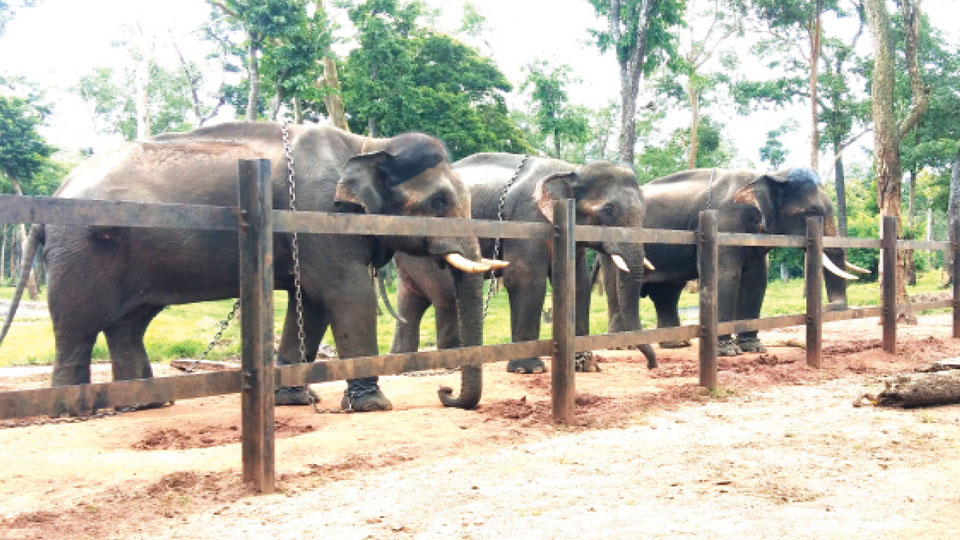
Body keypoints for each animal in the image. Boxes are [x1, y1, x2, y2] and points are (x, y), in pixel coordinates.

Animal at [0, 121, 496, 410]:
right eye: (438, 202)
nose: (444, 392)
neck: (368, 145)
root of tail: (58, 192)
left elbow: (311, 301)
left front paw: (294, 398)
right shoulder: (319, 212)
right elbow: (344, 293)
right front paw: (373, 404)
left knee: (129, 322)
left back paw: (144, 403)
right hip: (82, 249)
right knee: (78, 322)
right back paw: (70, 409)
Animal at [596, 167, 860, 356]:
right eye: (810, 213)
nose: (825, 308)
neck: (768, 174)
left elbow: (756, 281)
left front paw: (753, 348)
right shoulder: (725, 222)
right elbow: (727, 276)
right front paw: (727, 351)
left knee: (667, 292)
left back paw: (676, 344)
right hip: (614, 240)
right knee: (617, 284)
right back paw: (623, 346)